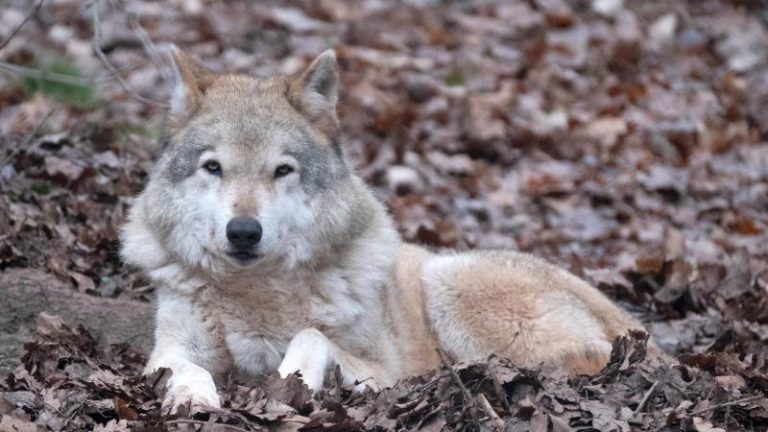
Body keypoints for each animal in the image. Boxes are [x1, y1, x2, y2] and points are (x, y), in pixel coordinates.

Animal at [120, 47, 655, 412]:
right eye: (213, 168)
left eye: (282, 170)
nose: (244, 232)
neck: (257, 293)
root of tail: (630, 322)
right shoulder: (171, 349)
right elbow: (184, 368)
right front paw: (193, 398)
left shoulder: (380, 369)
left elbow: (310, 337)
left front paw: (289, 381)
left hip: (447, 281)